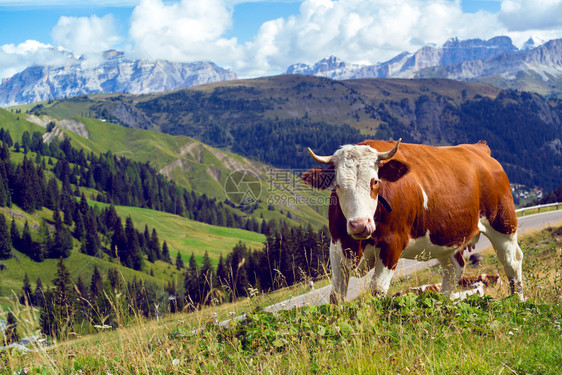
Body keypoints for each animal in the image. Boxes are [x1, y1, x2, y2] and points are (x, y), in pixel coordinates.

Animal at [300, 140, 524, 304]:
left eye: (375, 181)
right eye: (337, 185)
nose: (360, 225)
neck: (357, 245)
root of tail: (478, 148)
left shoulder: (392, 245)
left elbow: (377, 290)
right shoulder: (336, 247)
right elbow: (336, 296)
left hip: (503, 225)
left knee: (512, 263)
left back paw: (518, 301)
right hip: (446, 240)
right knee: (453, 270)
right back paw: (443, 304)